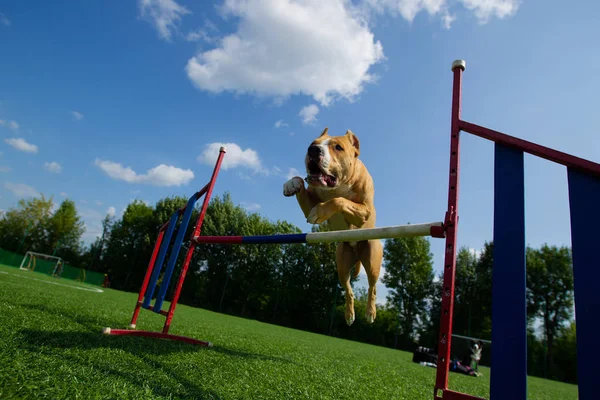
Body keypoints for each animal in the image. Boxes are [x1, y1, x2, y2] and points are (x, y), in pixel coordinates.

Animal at [284, 127, 382, 324]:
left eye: (338, 147)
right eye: (312, 143)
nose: (313, 150)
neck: (338, 185)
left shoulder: (363, 212)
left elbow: (339, 200)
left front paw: (321, 210)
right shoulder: (309, 203)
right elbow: (301, 182)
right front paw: (292, 183)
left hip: (372, 260)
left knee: (372, 287)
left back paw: (370, 313)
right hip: (342, 265)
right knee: (349, 290)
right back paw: (349, 315)